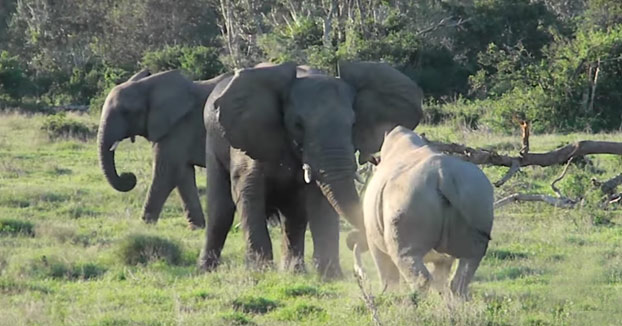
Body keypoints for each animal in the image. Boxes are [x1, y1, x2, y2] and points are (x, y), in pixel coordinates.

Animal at [97, 68, 232, 229]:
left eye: (126, 112)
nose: (129, 176)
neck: (147, 86)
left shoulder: (179, 128)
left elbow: (166, 172)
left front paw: (145, 225)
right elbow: (183, 175)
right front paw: (197, 228)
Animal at [200, 61, 424, 278]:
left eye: (353, 123)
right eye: (298, 124)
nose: (356, 241)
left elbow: (321, 200)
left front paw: (330, 276)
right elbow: (248, 193)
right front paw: (260, 272)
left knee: (294, 215)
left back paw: (294, 272)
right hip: (212, 144)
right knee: (220, 211)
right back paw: (206, 269)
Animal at [348, 125, 494, 298]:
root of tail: (444, 175)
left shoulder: (373, 239)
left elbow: (387, 273)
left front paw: (389, 296)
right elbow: (440, 275)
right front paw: (441, 298)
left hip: (408, 196)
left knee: (406, 258)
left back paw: (414, 302)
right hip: (475, 191)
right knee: (471, 258)